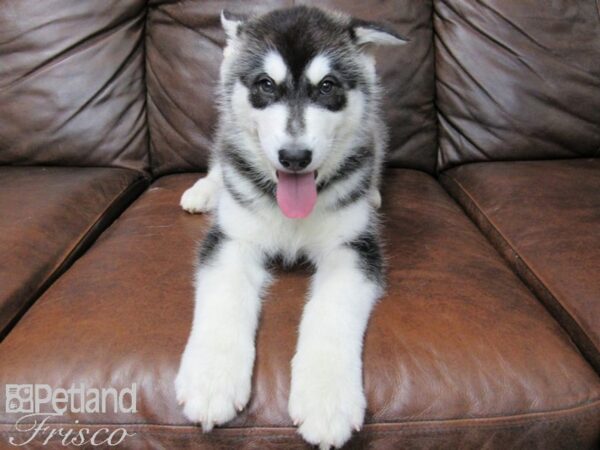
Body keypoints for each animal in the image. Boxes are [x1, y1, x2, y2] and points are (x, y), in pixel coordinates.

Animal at [176, 7, 406, 450]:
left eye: (327, 86)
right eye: (265, 84)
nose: (295, 157)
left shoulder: (353, 248)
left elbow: (331, 309)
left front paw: (326, 399)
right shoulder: (232, 240)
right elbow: (224, 296)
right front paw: (211, 380)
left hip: (376, 131)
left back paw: (372, 192)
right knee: (220, 156)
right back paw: (205, 189)